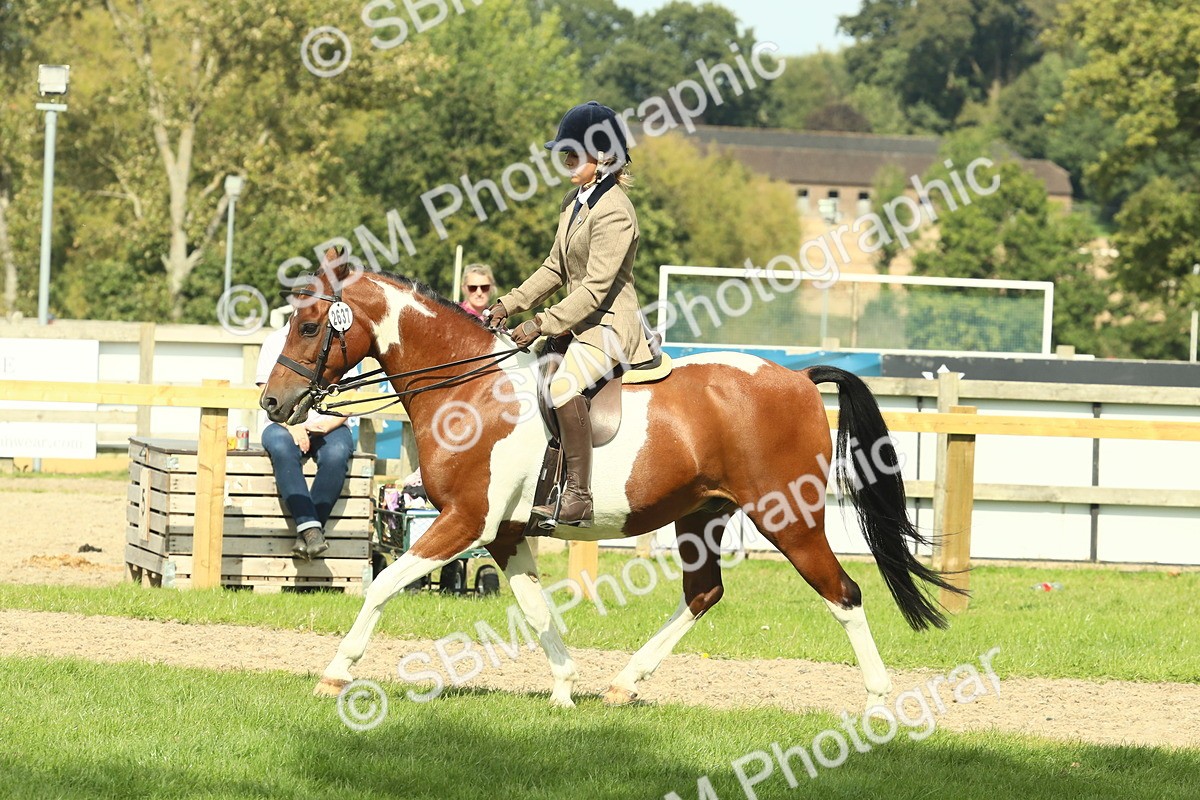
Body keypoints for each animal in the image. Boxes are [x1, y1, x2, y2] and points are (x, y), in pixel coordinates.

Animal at [259, 263, 963, 710]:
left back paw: (877, 701)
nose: (273, 403)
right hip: (701, 514)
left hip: (787, 517)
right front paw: (565, 689)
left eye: (310, 327)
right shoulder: (505, 531)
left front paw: (334, 675)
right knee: (704, 592)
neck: (471, 390)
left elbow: (381, 586)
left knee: (843, 593)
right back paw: (624, 684)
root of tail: (795, 377)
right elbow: (536, 609)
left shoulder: (464, 521)